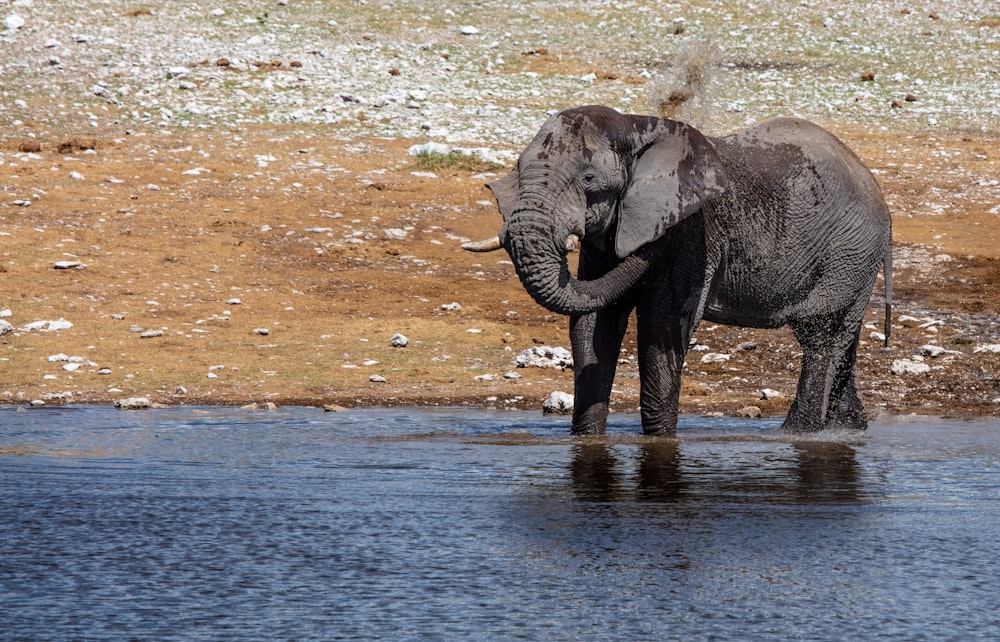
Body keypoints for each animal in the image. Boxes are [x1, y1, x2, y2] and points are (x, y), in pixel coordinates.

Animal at [464, 105, 896, 436]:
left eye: (588, 178)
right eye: (519, 170)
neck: (636, 127)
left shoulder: (692, 234)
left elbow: (663, 326)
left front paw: (659, 440)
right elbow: (592, 325)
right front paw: (587, 439)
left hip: (849, 250)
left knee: (822, 334)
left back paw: (795, 435)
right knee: (837, 337)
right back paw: (848, 430)